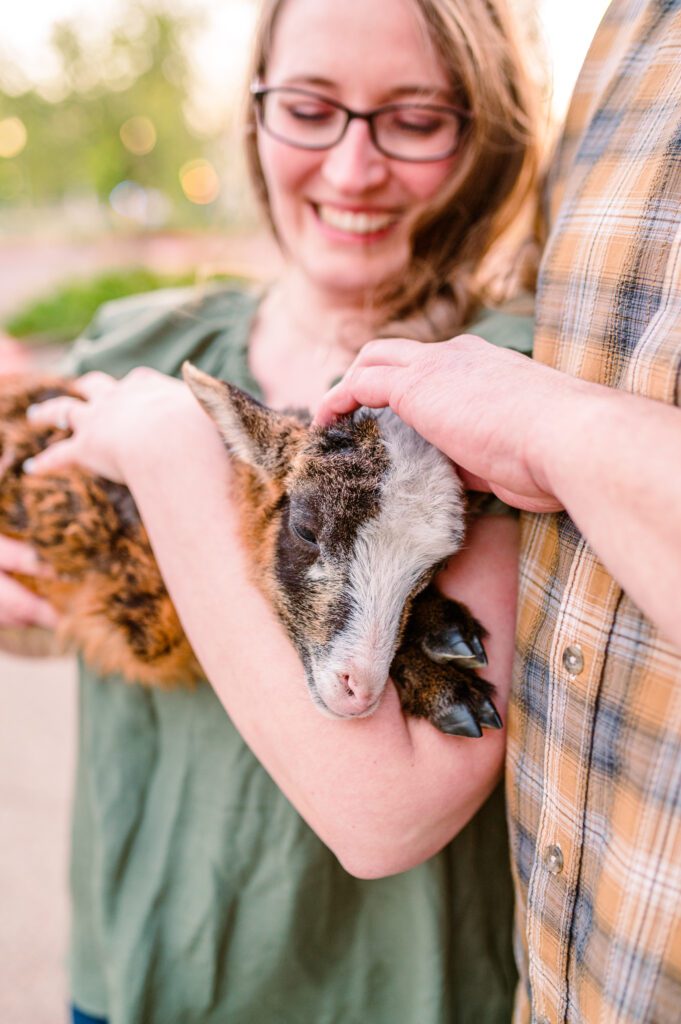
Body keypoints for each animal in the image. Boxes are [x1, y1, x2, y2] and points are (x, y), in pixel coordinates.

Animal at [0, 368, 499, 737]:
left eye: (433, 571)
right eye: (305, 530)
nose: (358, 693)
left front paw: (443, 630)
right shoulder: (139, 616)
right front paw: (446, 689)